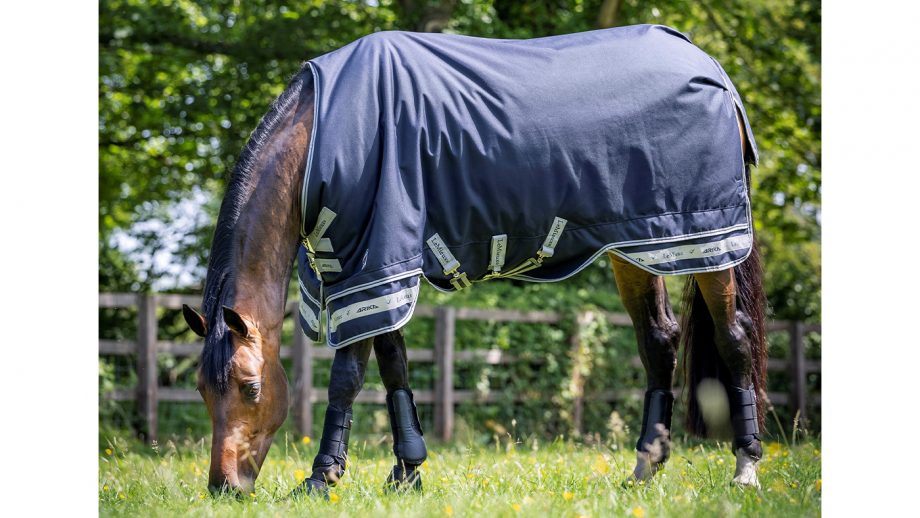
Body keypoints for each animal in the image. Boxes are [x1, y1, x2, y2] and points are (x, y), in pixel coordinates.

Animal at [181, 25, 767, 496]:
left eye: (251, 388)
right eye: (203, 390)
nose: (224, 486)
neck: (322, 132)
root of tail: (712, 70)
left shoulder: (370, 263)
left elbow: (348, 375)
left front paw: (322, 477)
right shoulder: (378, 269)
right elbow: (393, 364)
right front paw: (406, 471)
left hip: (708, 241)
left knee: (734, 336)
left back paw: (746, 468)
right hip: (641, 244)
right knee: (659, 341)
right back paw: (644, 469)